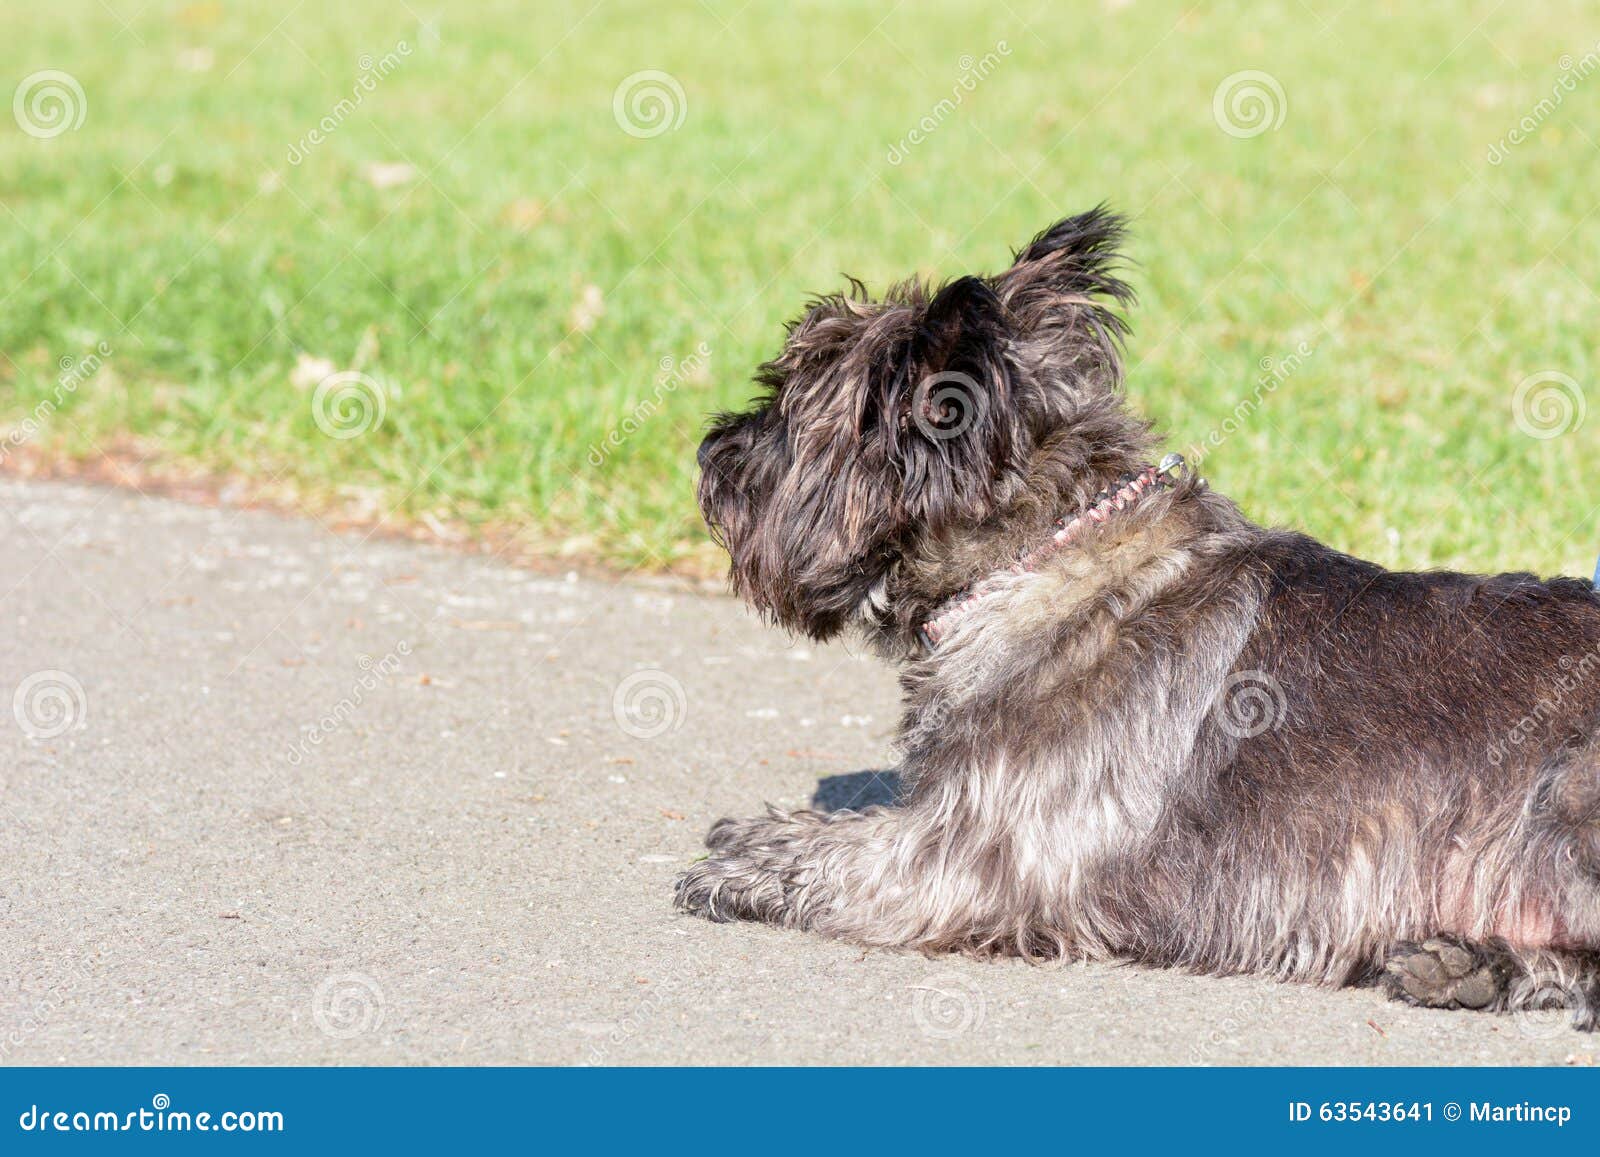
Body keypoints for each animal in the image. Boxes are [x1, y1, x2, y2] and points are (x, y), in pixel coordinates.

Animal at [675, 204, 1600, 1024]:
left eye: (786, 403)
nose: (709, 450)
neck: (1041, 562)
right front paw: (764, 833)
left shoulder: (978, 857)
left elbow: (854, 852)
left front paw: (746, 864)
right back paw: (1467, 966)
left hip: (1565, 799)